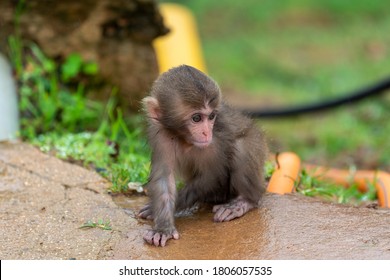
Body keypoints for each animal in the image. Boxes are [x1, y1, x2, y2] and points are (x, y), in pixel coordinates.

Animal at [139, 64, 268, 246]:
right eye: (196, 118)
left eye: (212, 116)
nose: (207, 132)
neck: (184, 138)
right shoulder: (161, 136)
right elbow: (164, 178)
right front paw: (163, 227)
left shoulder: (215, 143)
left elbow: (213, 175)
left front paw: (162, 208)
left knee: (242, 146)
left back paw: (244, 201)